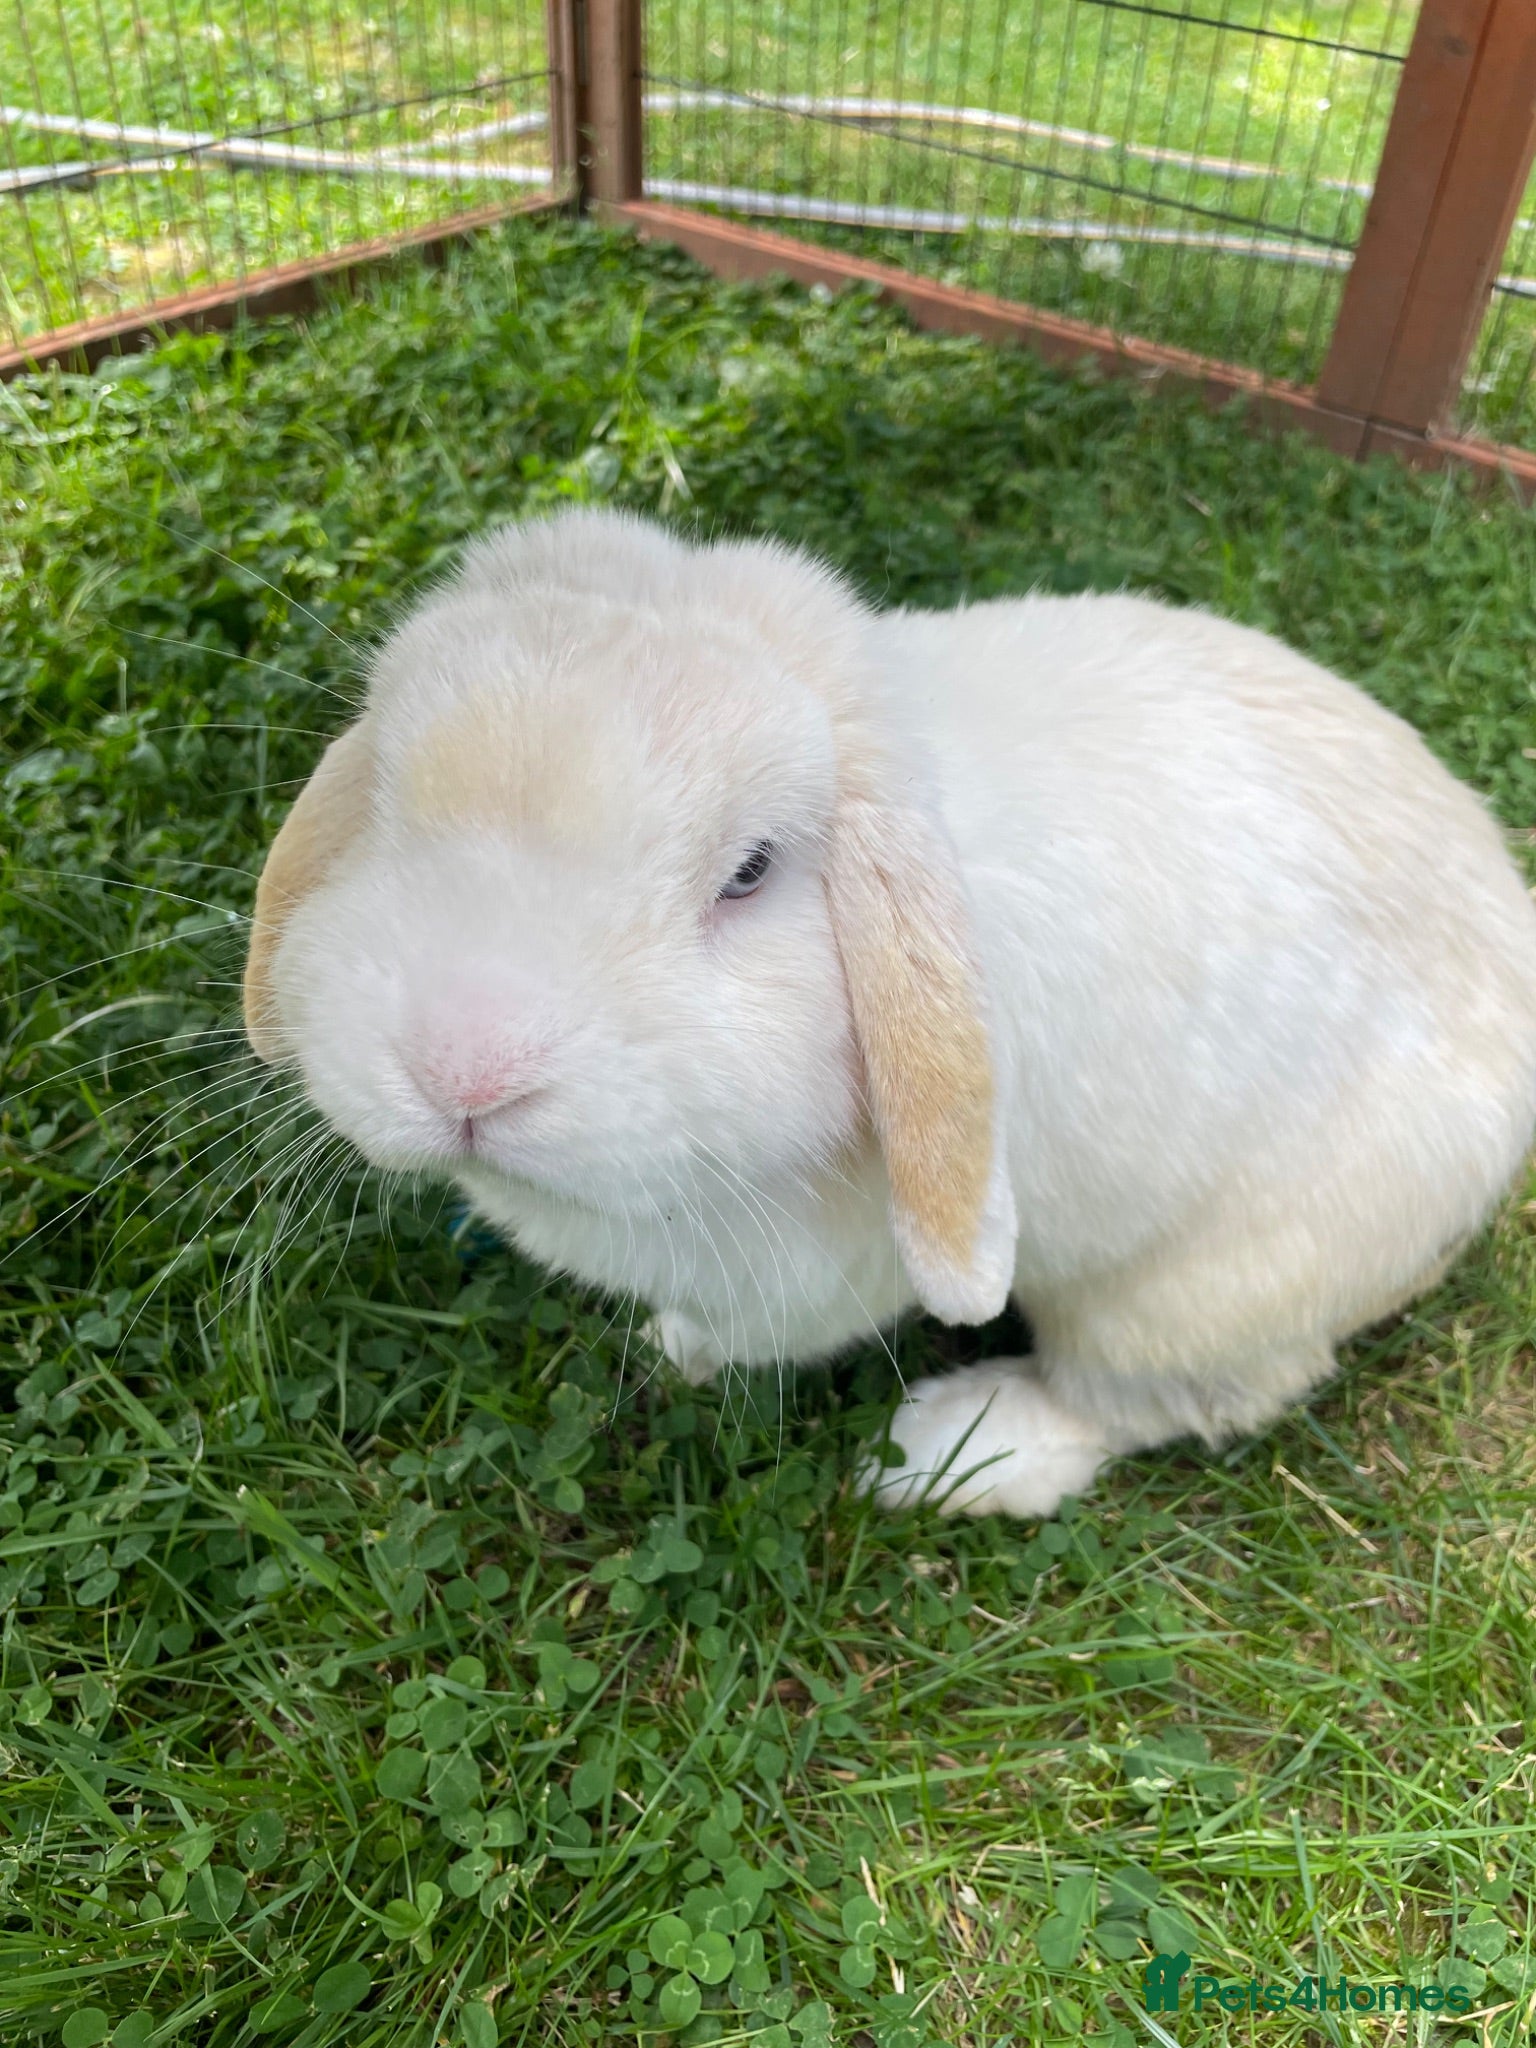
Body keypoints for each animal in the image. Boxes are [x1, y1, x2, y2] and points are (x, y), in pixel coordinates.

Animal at [243, 509, 1536, 1519]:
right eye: (386, 804)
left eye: (751, 872)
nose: (463, 1068)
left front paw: (682, 1349)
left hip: (1198, 1294)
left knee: (1143, 1402)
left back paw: (947, 1451)